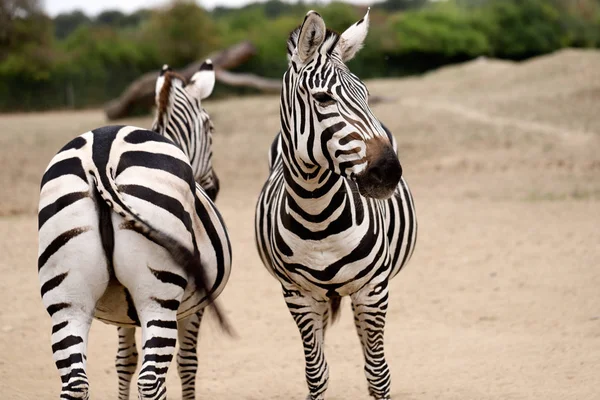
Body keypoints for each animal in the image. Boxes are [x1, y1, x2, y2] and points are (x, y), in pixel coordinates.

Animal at [37, 60, 230, 400]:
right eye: (210, 128)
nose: (214, 187)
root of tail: (99, 157)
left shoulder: (120, 312)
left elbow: (123, 361)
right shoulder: (194, 307)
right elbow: (187, 362)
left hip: (67, 301)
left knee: (75, 383)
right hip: (158, 296)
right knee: (151, 380)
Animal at [254, 9, 418, 400]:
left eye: (367, 94)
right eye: (324, 99)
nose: (389, 172)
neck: (318, 218)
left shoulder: (373, 289)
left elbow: (378, 374)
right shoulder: (297, 296)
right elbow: (316, 373)